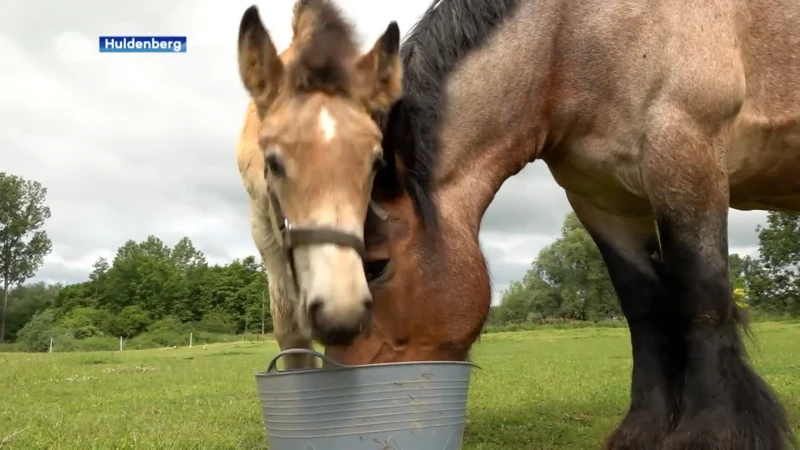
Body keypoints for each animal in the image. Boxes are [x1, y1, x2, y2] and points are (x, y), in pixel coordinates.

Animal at [324, 0, 800, 450]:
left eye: (376, 266)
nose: (343, 397)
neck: (573, 38)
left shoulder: (687, 157)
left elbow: (702, 295)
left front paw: (711, 433)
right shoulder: (602, 201)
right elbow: (643, 309)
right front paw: (642, 430)